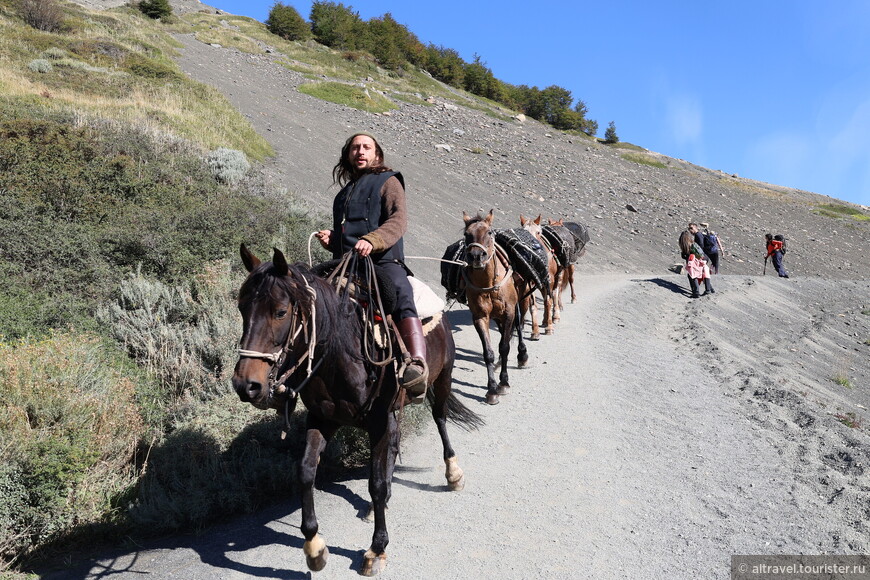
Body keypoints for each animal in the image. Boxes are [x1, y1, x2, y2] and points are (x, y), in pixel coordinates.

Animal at [232, 245, 484, 576]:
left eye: (281, 312)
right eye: (242, 309)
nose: (246, 385)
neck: (341, 353)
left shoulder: (379, 421)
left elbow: (374, 484)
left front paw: (377, 549)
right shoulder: (322, 420)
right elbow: (305, 472)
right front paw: (314, 546)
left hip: (442, 379)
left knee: (440, 419)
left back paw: (453, 473)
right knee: (395, 444)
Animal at [464, 211, 532, 406]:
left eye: (489, 232)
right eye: (466, 234)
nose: (476, 256)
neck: (487, 284)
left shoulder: (509, 312)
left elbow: (505, 346)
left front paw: (504, 383)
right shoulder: (480, 317)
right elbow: (489, 352)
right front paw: (492, 389)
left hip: (521, 303)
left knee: (518, 328)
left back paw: (522, 355)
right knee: (504, 333)